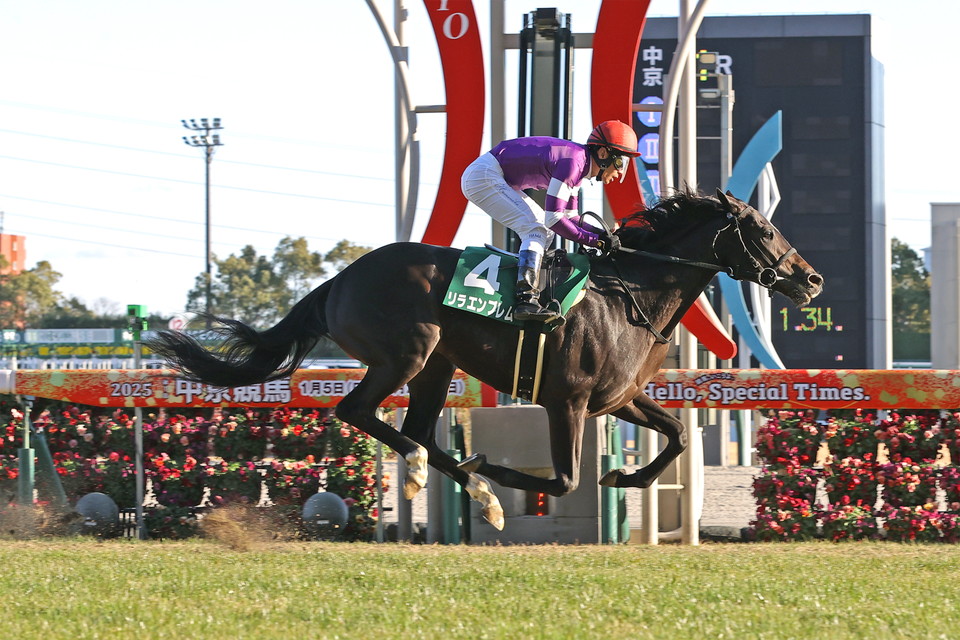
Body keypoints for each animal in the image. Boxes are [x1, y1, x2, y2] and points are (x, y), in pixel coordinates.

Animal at [148, 189, 823, 531]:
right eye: (764, 230)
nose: (811, 279)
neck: (629, 294)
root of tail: (339, 279)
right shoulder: (567, 400)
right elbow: (563, 479)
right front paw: (505, 472)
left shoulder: (619, 397)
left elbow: (679, 435)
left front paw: (621, 479)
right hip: (407, 355)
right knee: (360, 412)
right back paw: (446, 476)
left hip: (438, 366)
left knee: (418, 430)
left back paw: (472, 488)